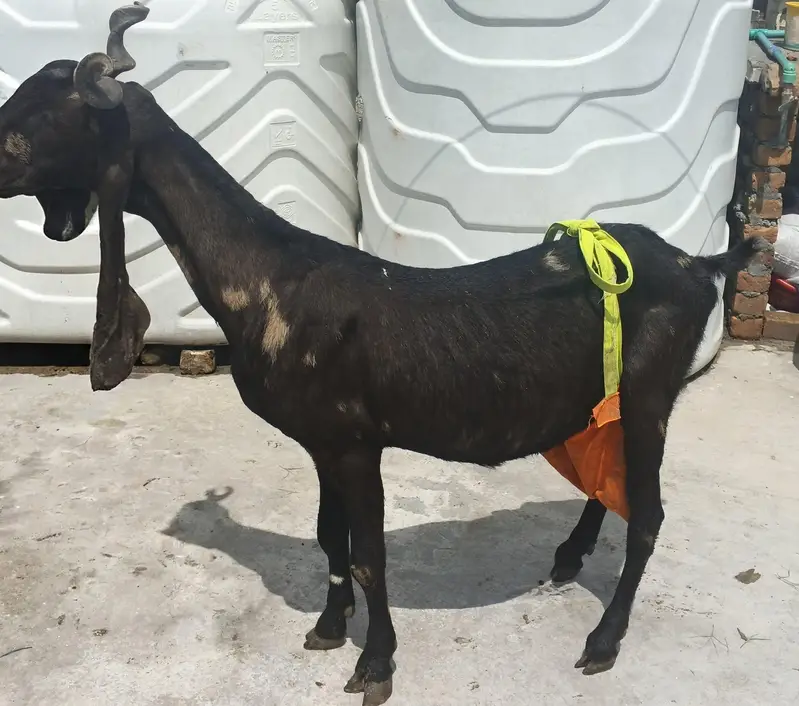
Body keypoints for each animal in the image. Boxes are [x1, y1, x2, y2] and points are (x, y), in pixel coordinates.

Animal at [0, 4, 764, 704]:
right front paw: (329, 626)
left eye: (33, 122)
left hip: (649, 394)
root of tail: (696, 263)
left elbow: (369, 555)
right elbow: (327, 537)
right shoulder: (323, 440)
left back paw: (602, 640)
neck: (273, 278)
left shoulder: (354, 441)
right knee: (609, 486)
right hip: (605, 401)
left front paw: (374, 664)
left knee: (649, 516)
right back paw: (568, 557)